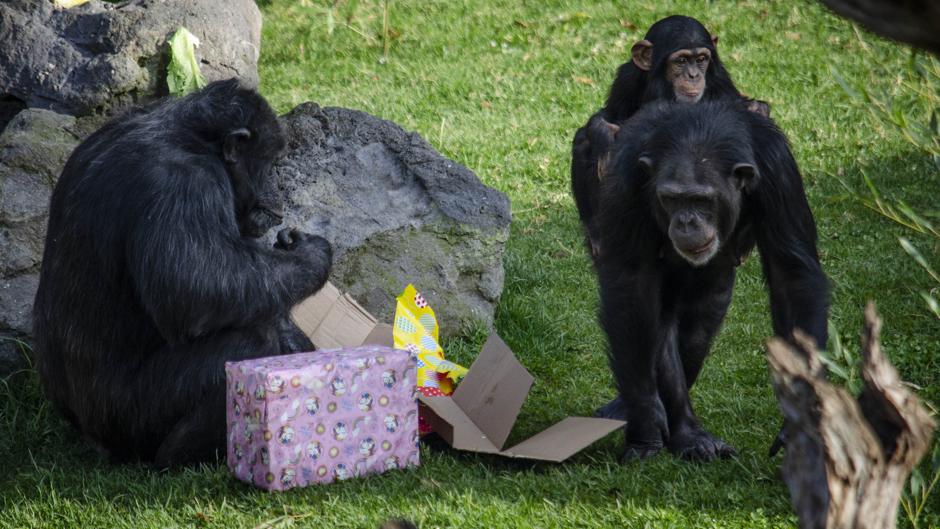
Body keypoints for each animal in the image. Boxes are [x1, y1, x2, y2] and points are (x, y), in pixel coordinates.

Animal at [32, 78, 334, 466]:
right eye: (272, 162)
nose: (277, 188)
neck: (196, 140)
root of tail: (91, 440)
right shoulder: (183, 184)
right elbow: (198, 287)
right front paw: (313, 256)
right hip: (133, 416)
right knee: (249, 340)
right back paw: (189, 456)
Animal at [568, 14, 768, 258]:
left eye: (701, 59)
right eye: (680, 61)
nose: (693, 75)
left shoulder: (720, 80)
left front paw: (757, 108)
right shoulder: (627, 77)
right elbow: (610, 116)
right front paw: (604, 137)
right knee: (583, 142)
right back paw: (598, 237)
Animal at [596, 101, 828, 460]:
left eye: (702, 200)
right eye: (672, 199)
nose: (686, 222)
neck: (698, 132)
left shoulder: (779, 171)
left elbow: (792, 276)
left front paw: (799, 418)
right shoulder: (628, 178)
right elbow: (631, 284)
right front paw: (645, 423)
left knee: (695, 334)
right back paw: (685, 433)